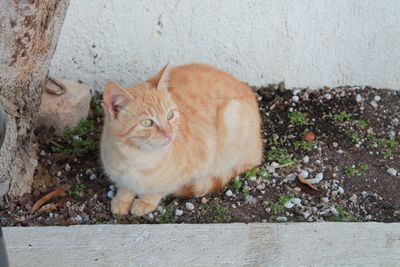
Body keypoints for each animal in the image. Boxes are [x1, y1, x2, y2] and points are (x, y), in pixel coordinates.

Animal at [100, 63, 262, 217]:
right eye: (147, 123)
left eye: (170, 115)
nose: (169, 133)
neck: (136, 158)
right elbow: (125, 187)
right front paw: (122, 199)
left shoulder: (201, 156)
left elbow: (160, 188)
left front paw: (146, 201)